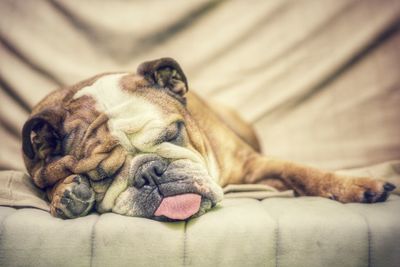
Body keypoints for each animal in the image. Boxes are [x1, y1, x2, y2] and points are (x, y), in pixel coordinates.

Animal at [22, 57, 396, 221]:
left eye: (173, 132)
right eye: (101, 174)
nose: (150, 172)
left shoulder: (254, 164)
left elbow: (305, 172)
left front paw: (357, 185)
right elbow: (45, 182)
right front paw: (68, 193)